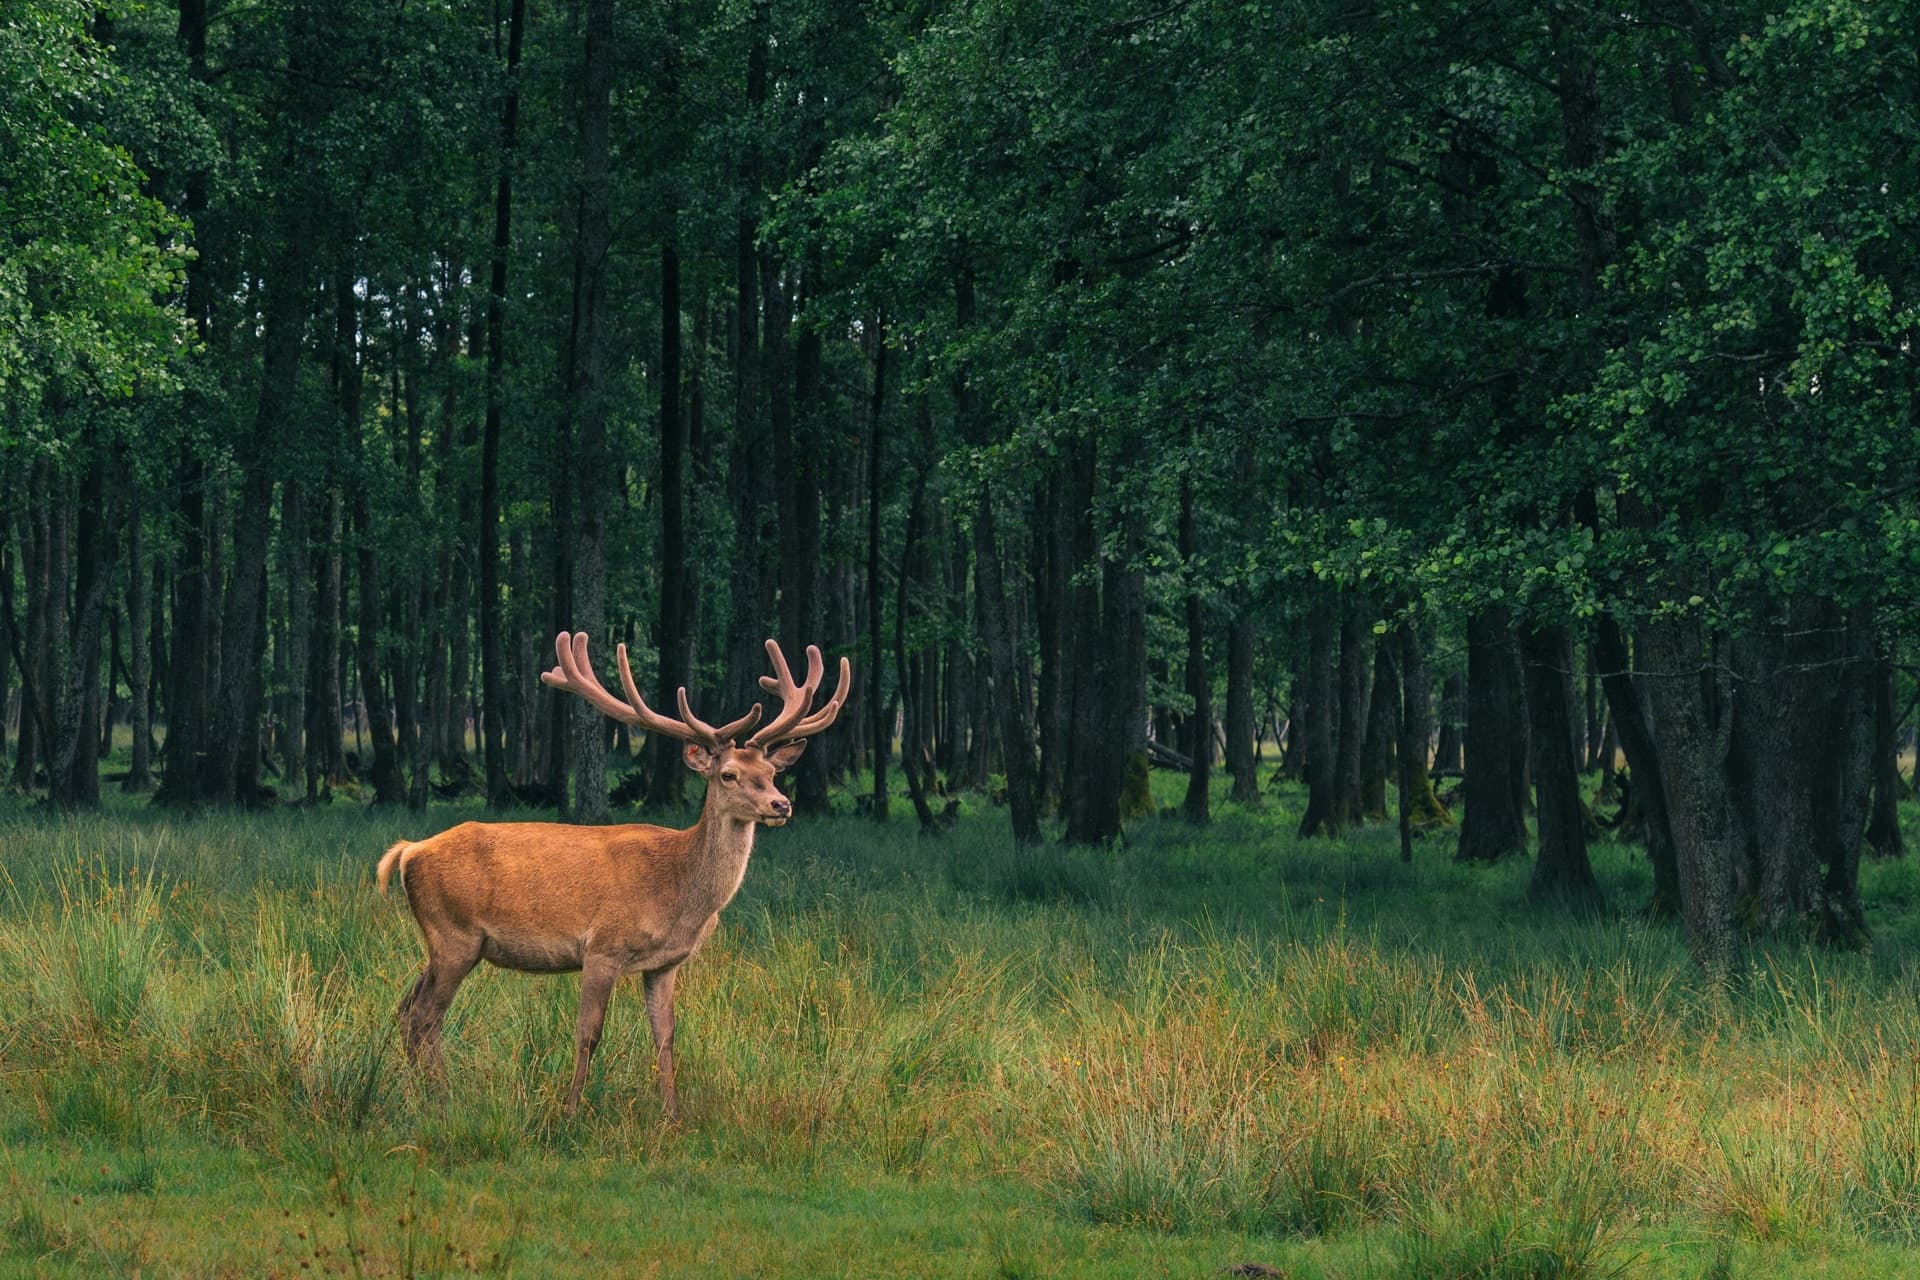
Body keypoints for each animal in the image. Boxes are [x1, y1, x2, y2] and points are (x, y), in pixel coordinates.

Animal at [375, 632, 850, 1118]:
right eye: (729, 774)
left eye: (772, 772)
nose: (781, 804)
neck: (680, 892)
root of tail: (408, 852)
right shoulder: (602, 947)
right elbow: (589, 1034)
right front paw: (570, 1112)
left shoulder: (665, 964)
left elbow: (665, 1037)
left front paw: (671, 1116)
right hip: (454, 934)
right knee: (425, 1016)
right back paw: (441, 1098)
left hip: (443, 943)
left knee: (405, 1009)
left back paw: (424, 1092)